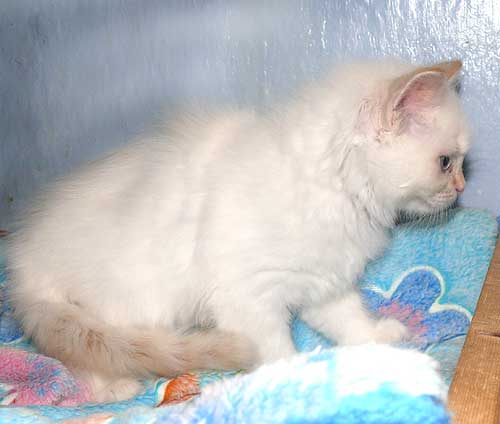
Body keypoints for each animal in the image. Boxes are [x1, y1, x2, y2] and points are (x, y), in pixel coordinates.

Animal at [6, 58, 469, 402]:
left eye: (460, 161)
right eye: (446, 162)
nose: (462, 188)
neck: (328, 187)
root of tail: (24, 264)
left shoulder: (324, 279)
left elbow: (348, 319)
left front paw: (377, 340)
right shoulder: (248, 296)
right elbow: (276, 349)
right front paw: (291, 381)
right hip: (131, 301)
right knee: (89, 352)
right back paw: (114, 387)